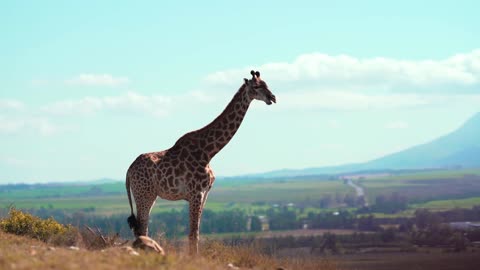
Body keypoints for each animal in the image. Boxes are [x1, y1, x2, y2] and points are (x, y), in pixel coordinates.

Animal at [126, 70, 278, 255]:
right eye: (256, 86)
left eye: (266, 83)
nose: (273, 97)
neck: (209, 152)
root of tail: (129, 170)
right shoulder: (196, 192)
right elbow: (194, 233)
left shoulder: (205, 193)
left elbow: (195, 231)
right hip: (144, 194)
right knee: (142, 228)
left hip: (149, 195)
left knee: (141, 228)